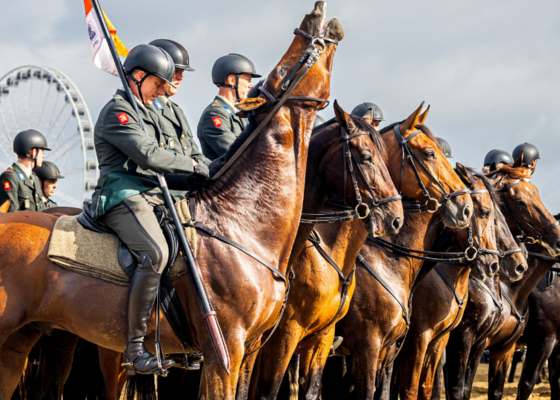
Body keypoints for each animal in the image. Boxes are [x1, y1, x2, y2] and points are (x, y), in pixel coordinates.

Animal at [0, 3, 346, 400]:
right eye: (285, 69)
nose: (316, 12)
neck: (244, 222)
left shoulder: (248, 354)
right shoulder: (225, 351)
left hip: (21, 341)